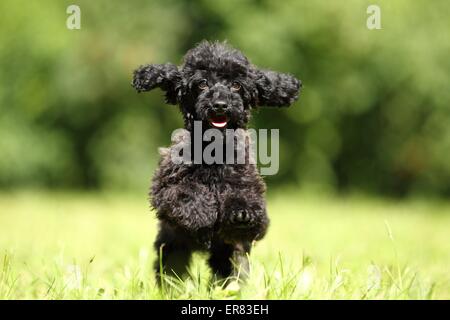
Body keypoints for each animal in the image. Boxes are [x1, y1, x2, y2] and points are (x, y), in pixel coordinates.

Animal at [132, 40, 300, 282]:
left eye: (236, 85)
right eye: (202, 84)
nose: (220, 104)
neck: (214, 149)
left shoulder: (251, 192)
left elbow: (249, 204)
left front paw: (241, 213)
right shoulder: (163, 188)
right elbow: (185, 192)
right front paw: (201, 213)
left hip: (228, 257)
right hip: (172, 248)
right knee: (171, 270)